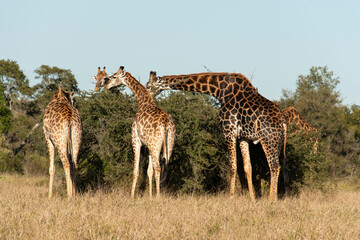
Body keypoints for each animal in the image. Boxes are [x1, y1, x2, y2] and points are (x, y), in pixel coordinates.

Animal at [94, 66, 176, 199]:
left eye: (113, 77)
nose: (106, 86)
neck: (143, 102)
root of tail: (165, 125)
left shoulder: (136, 139)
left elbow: (136, 170)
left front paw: (132, 195)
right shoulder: (148, 144)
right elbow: (149, 171)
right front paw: (150, 196)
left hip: (156, 144)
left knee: (158, 168)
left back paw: (158, 196)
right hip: (168, 143)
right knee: (165, 168)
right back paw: (161, 193)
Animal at [146, 71, 286, 201]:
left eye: (148, 86)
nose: (148, 96)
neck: (220, 90)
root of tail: (282, 119)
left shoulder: (228, 132)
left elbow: (233, 165)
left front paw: (231, 197)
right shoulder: (242, 137)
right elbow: (247, 167)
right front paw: (252, 198)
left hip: (268, 139)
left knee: (274, 165)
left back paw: (271, 199)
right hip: (277, 141)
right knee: (278, 165)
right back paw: (275, 197)